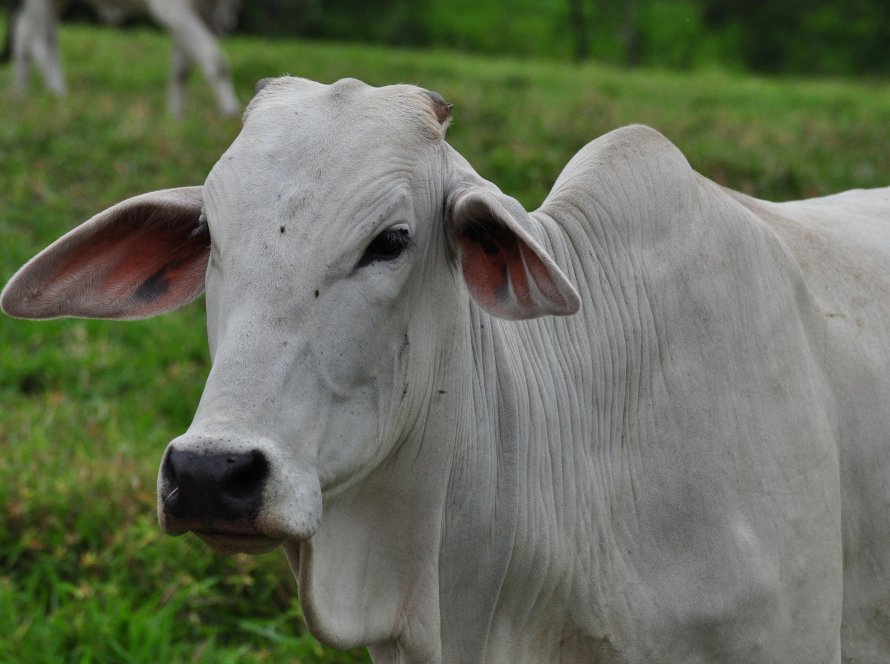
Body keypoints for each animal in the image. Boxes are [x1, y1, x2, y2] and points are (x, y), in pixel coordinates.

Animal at [4, 0, 239, 115]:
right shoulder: (171, 9)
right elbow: (215, 59)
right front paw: (230, 111)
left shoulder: (197, 12)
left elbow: (181, 70)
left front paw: (176, 117)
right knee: (44, 40)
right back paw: (57, 92)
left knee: (25, 32)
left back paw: (22, 93)